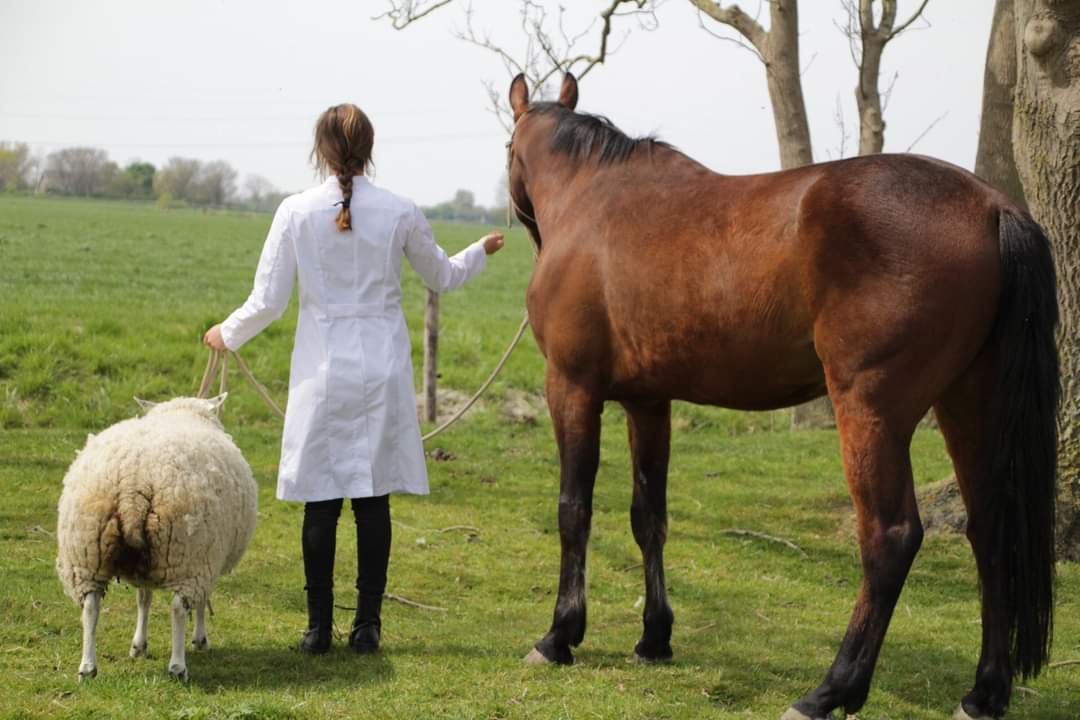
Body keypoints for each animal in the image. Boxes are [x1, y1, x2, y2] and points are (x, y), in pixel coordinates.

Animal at [506, 72, 1059, 720]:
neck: (591, 198)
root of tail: (993, 207)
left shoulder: (571, 387)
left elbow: (574, 510)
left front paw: (559, 636)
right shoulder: (649, 401)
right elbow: (649, 517)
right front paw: (654, 637)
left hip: (870, 411)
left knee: (891, 538)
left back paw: (831, 690)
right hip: (970, 404)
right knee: (991, 530)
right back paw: (984, 692)